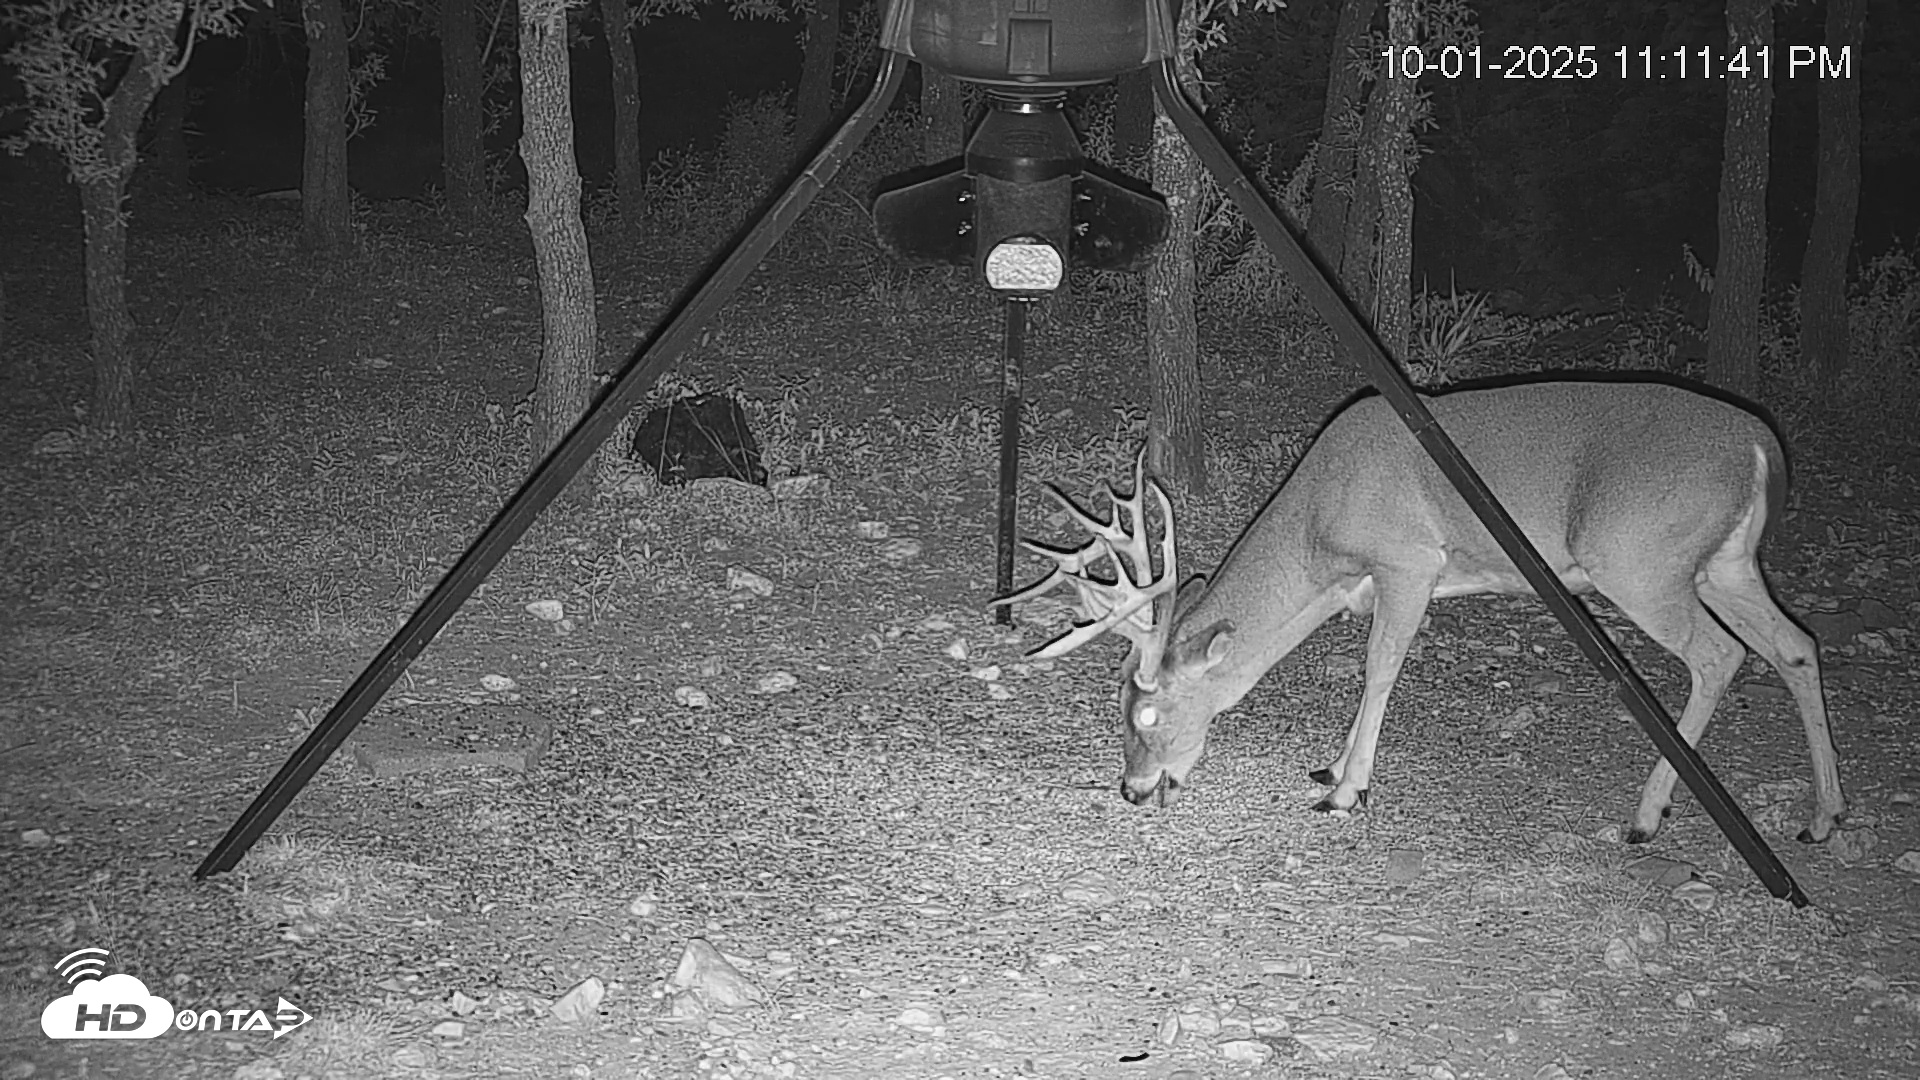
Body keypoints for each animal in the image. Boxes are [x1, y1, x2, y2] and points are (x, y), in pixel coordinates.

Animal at [994, 380, 1846, 844]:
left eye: (1147, 713)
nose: (1133, 789)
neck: (1320, 532)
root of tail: (1762, 447)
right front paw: (1333, 765)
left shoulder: (1408, 562)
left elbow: (1378, 670)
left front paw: (1345, 792)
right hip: (1727, 562)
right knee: (1796, 643)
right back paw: (1823, 816)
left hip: (1637, 558)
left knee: (1720, 655)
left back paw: (1647, 815)